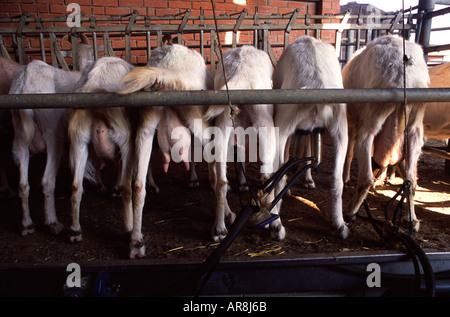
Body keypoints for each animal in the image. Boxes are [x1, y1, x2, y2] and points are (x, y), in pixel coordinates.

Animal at [205, 45, 276, 239]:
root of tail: (241, 70)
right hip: (264, 119)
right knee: (267, 176)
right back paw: (274, 224)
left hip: (223, 121)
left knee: (221, 180)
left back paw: (219, 228)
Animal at [268, 35, 350, 238]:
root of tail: (317, 84)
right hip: (340, 127)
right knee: (337, 178)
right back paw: (340, 225)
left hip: (283, 122)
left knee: (278, 175)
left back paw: (276, 225)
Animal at [342, 35, 430, 230]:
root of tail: (402, 72)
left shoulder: (352, 120)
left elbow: (349, 150)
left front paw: (345, 177)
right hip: (415, 126)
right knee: (411, 179)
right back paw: (411, 219)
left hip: (372, 118)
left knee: (366, 176)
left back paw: (350, 212)